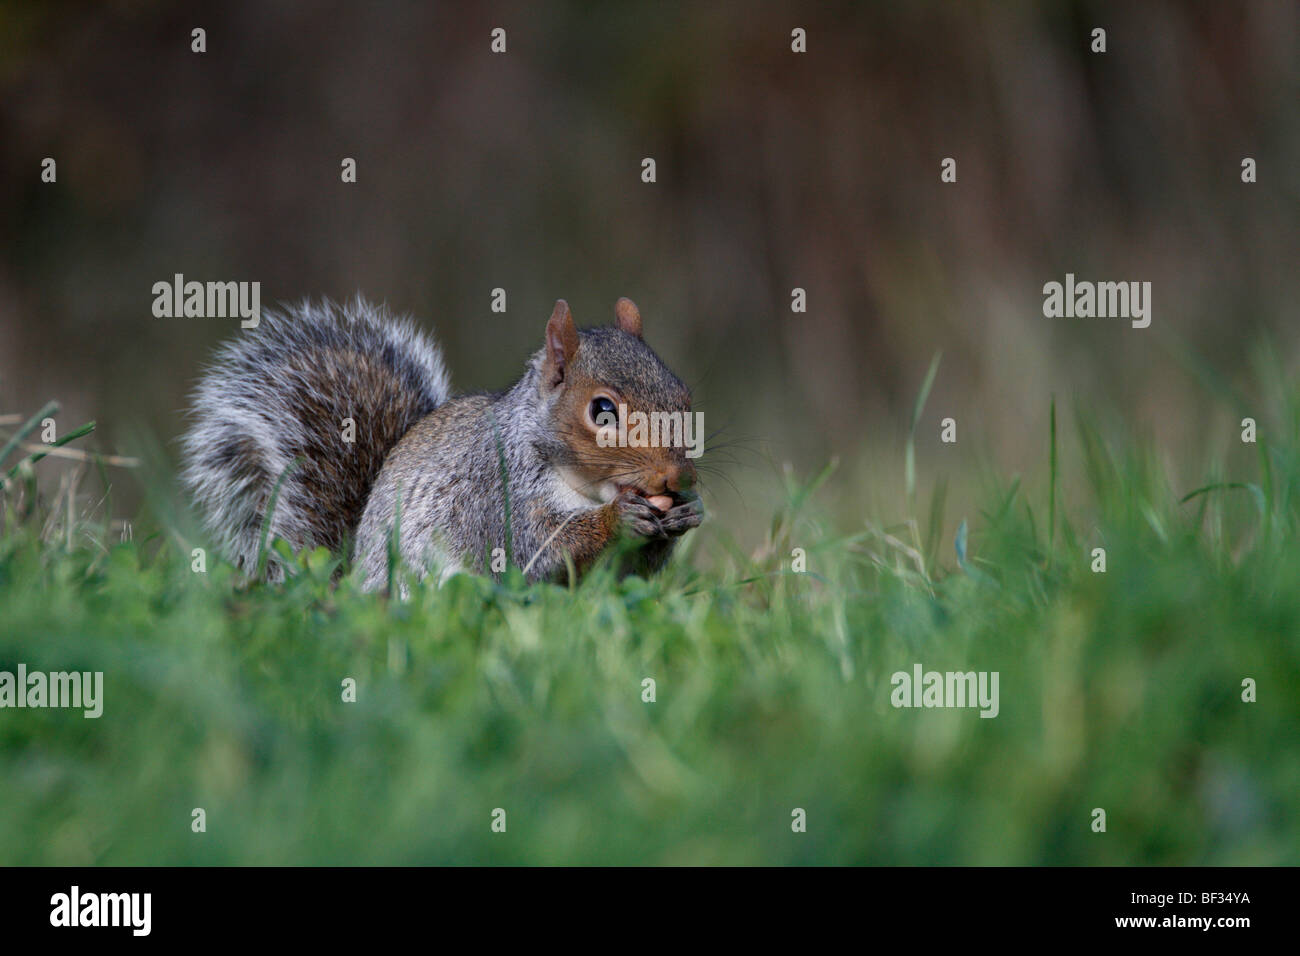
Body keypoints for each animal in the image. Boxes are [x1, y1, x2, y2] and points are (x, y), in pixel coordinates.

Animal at [180, 295, 702, 587]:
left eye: (683, 393)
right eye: (602, 410)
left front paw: (687, 514)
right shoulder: (497, 495)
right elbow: (536, 546)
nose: (678, 477)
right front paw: (618, 519)